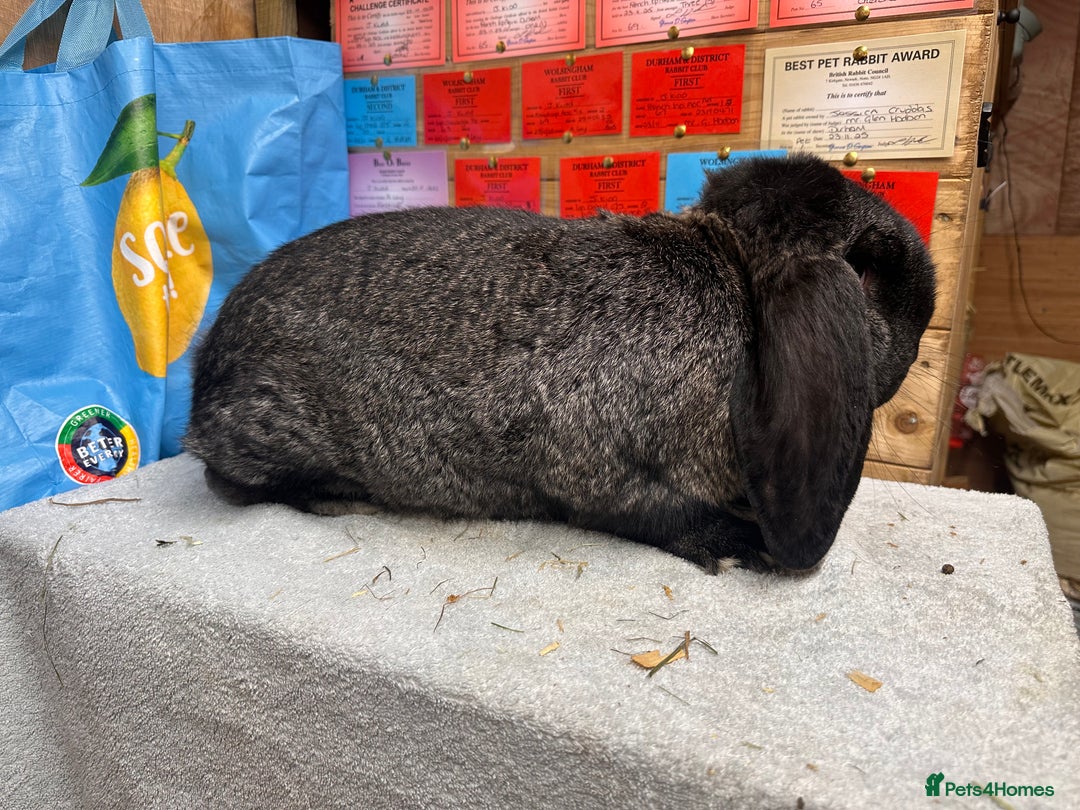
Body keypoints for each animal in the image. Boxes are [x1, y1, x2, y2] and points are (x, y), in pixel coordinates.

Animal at [184, 154, 936, 573]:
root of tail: (201, 384)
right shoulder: (602, 470)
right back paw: (338, 496)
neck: (732, 277)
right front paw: (738, 544)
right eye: (872, 272)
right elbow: (661, 514)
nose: (927, 318)